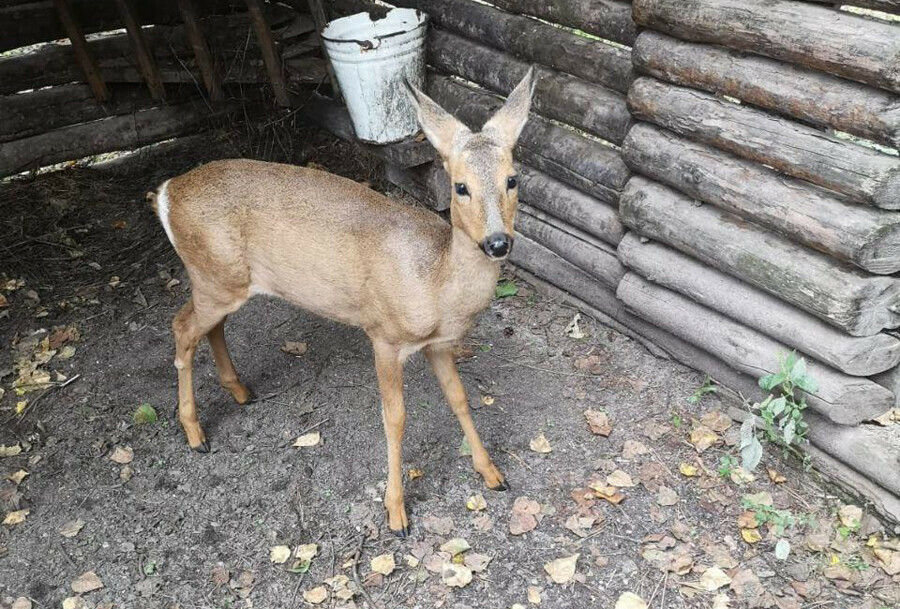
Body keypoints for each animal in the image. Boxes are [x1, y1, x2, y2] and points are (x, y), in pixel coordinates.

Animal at [151, 69, 536, 536]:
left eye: (512, 179)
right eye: (460, 187)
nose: (498, 242)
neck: (435, 284)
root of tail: (165, 193)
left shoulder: (439, 345)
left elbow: (460, 398)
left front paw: (492, 473)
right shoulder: (384, 336)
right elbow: (395, 418)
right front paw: (396, 512)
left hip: (222, 282)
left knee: (208, 327)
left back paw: (240, 392)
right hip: (212, 279)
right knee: (181, 327)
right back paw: (195, 434)